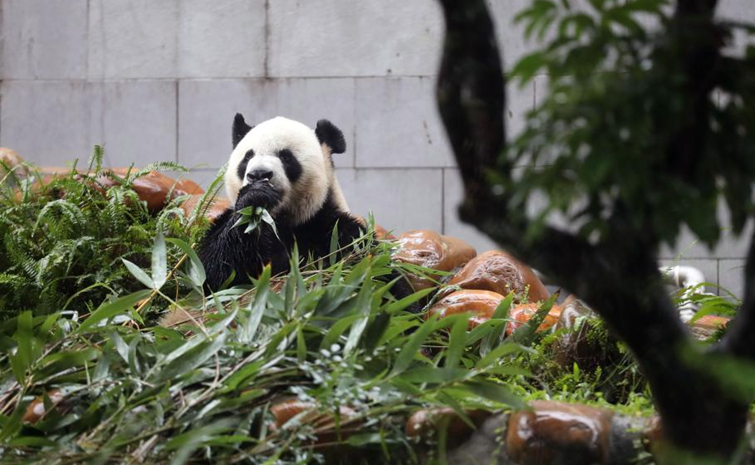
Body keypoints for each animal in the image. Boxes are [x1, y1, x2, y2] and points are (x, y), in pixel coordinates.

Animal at [198, 113, 366, 288]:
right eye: (248, 156)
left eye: (286, 157)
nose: (259, 174)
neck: (279, 219)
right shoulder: (223, 225)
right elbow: (214, 270)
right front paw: (255, 196)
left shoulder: (331, 226)